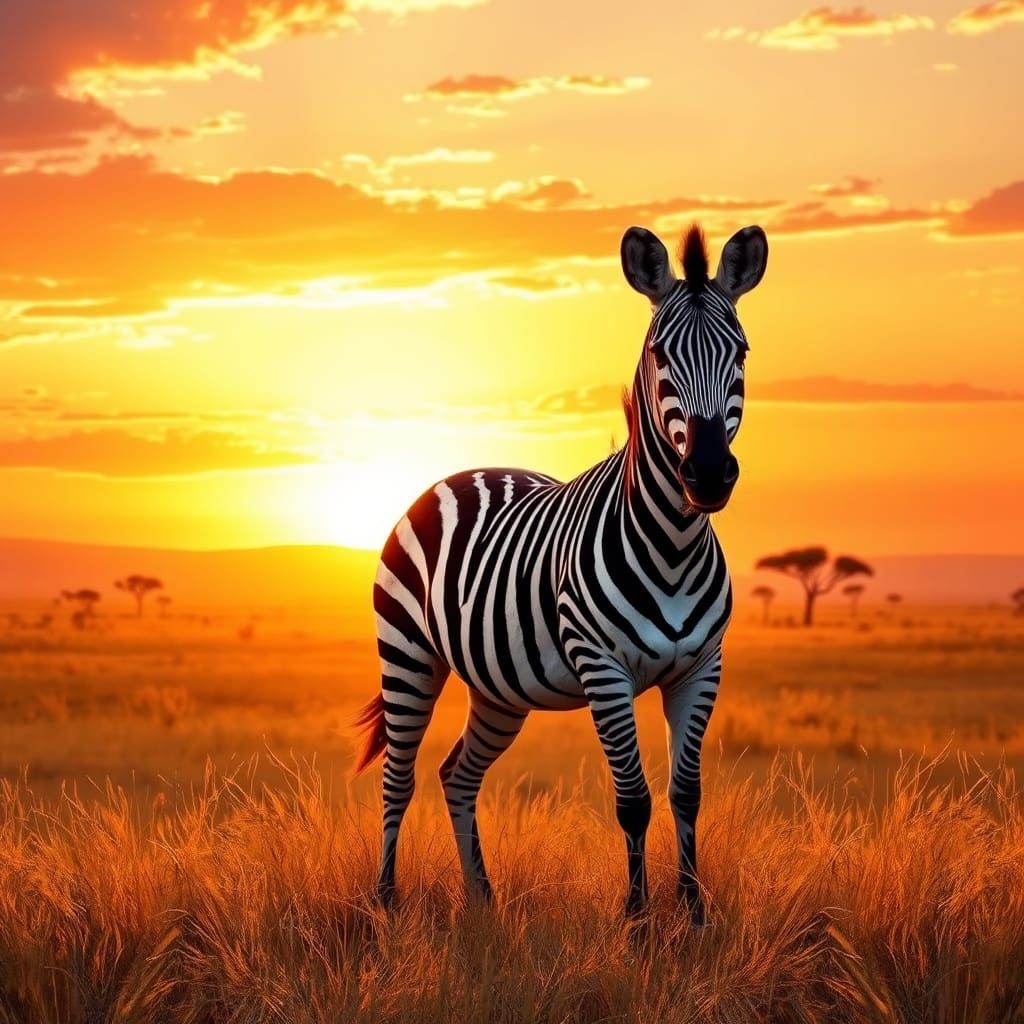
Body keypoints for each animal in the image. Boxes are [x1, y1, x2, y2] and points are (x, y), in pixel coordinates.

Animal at [354, 222, 768, 922]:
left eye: (740, 352)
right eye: (658, 353)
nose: (709, 474)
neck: (674, 544)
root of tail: (461, 473)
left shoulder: (701, 668)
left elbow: (686, 793)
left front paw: (694, 916)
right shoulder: (604, 670)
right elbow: (634, 800)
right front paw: (638, 922)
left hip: (498, 689)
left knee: (456, 774)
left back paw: (482, 901)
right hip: (407, 656)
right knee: (399, 778)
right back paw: (387, 902)